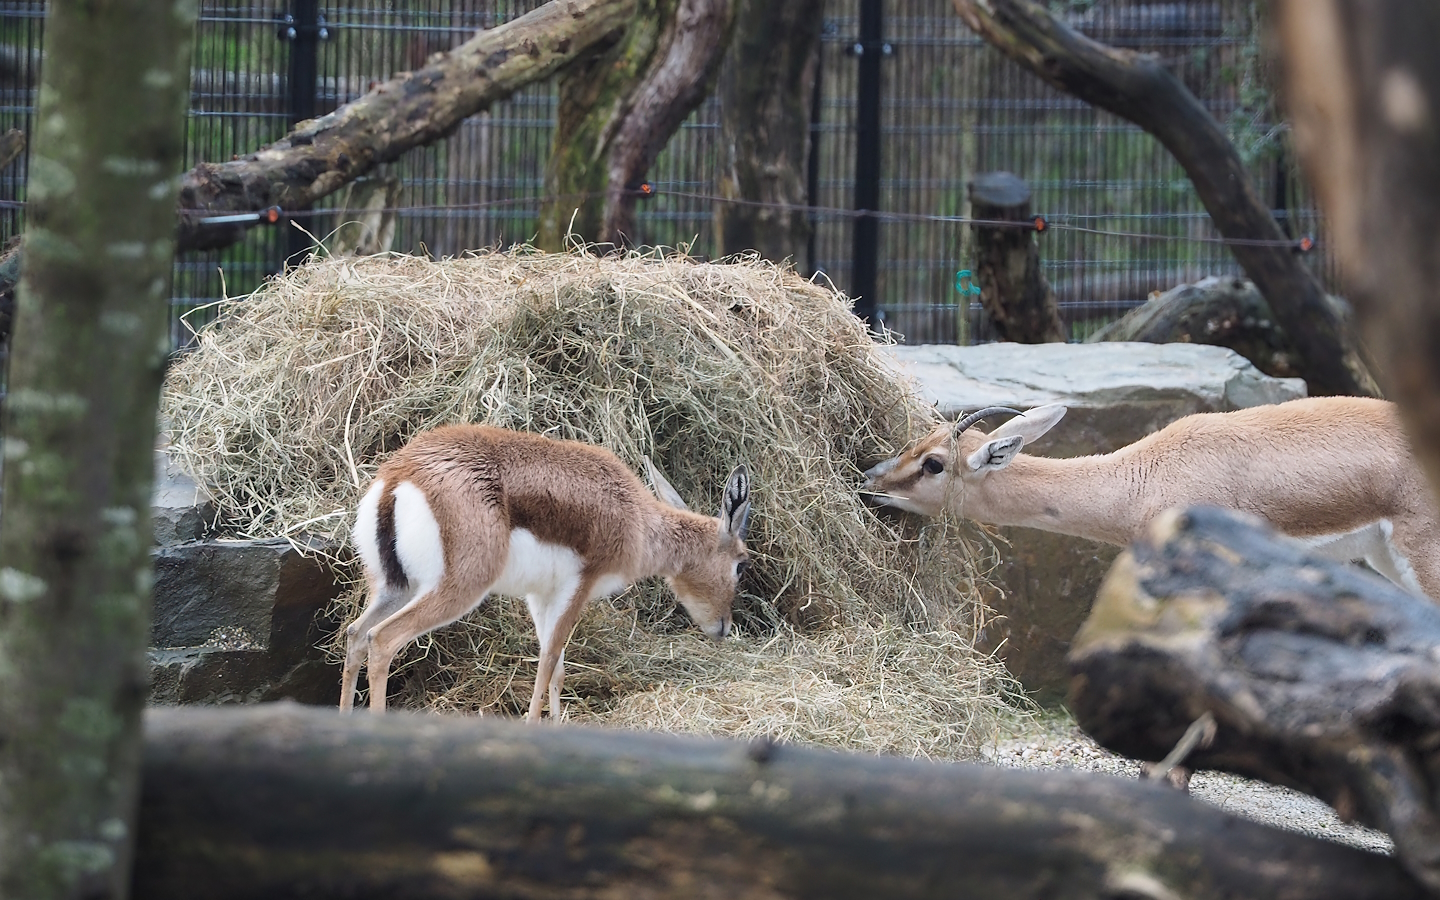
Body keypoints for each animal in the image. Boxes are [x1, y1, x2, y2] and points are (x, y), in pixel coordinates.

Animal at [340, 425, 752, 721]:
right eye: (741, 563)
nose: (724, 627)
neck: (636, 518)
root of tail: (400, 476)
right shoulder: (579, 586)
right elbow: (549, 662)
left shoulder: (540, 595)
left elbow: (556, 669)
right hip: (455, 590)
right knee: (383, 639)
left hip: (395, 589)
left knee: (356, 634)